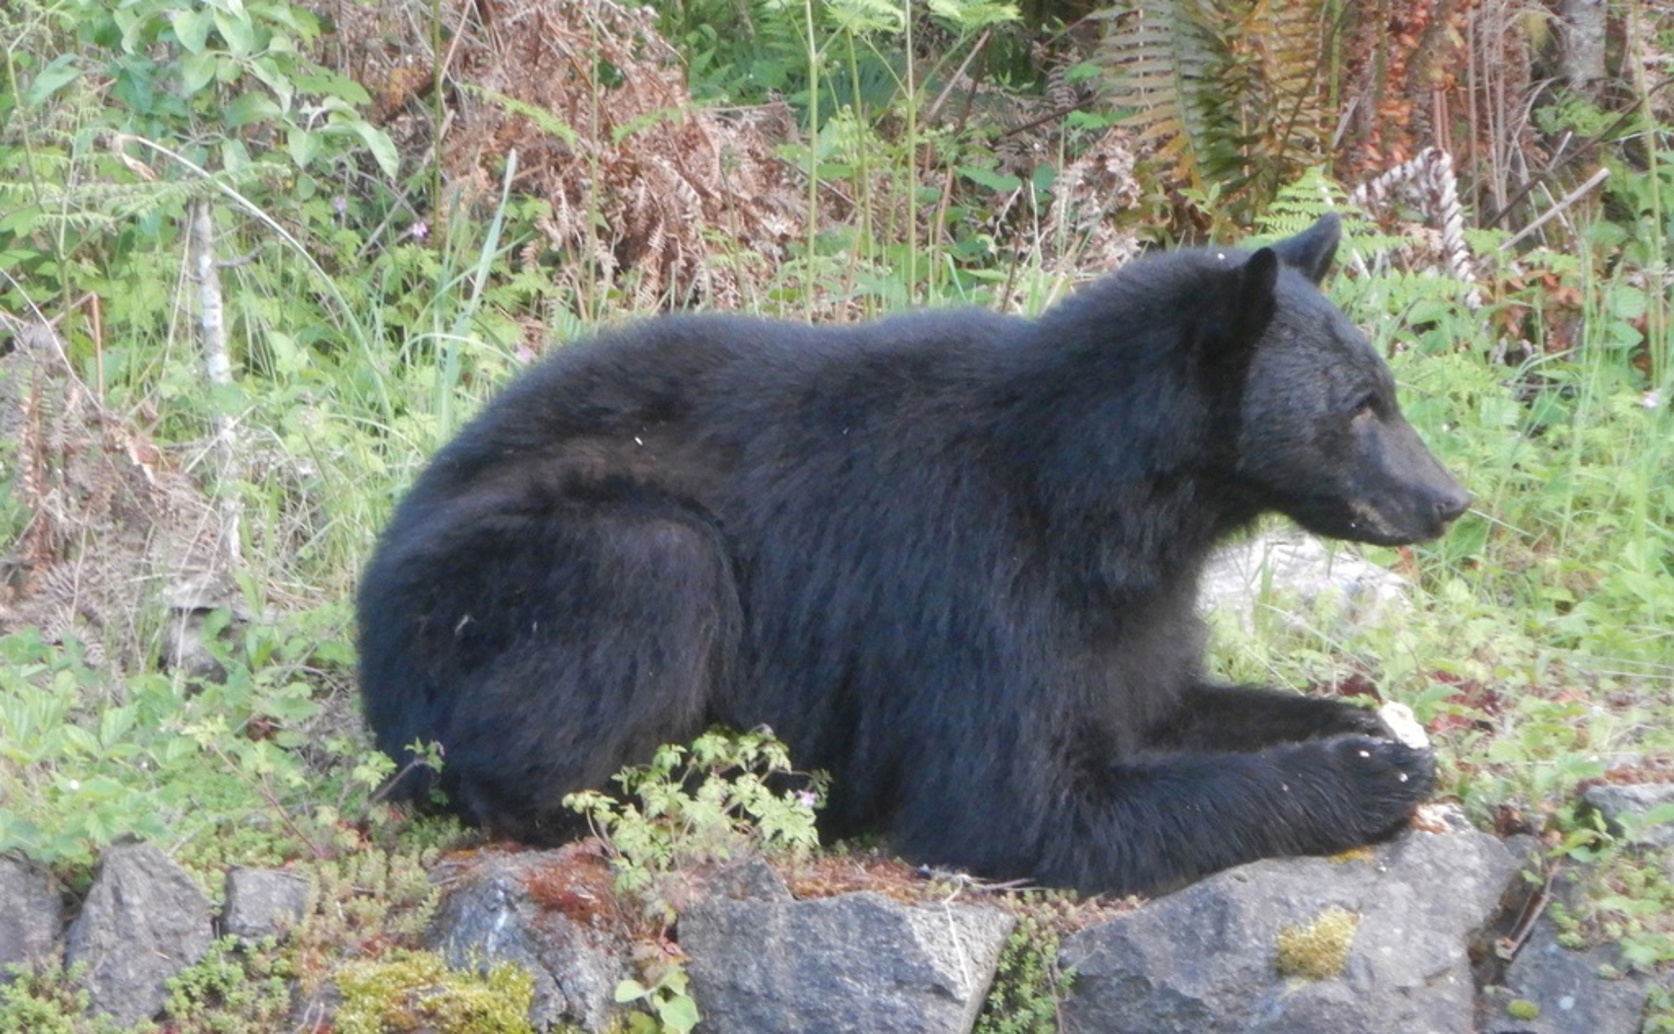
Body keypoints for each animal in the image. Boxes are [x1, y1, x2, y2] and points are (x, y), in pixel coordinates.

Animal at [356, 214, 1471, 896]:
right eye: (1361, 407)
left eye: (1386, 389)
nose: (1449, 499)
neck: (1110, 497)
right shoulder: (977, 577)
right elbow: (1021, 804)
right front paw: (1365, 774)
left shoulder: (1133, 604)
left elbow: (1158, 698)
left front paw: (1366, 723)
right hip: (512, 577)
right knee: (643, 590)